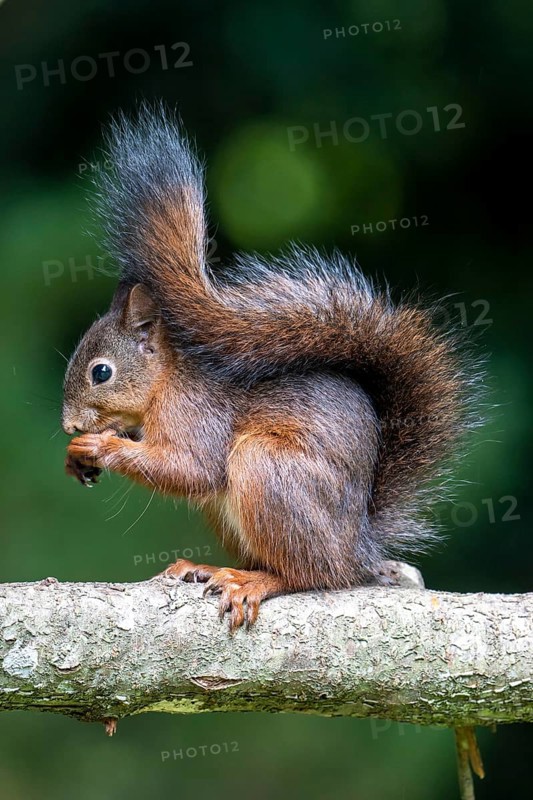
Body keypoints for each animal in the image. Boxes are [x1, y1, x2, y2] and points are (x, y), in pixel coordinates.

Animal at [62, 104, 482, 631]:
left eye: (101, 372)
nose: (68, 425)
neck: (166, 381)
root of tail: (358, 549)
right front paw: (77, 456)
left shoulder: (197, 412)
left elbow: (190, 468)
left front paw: (99, 445)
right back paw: (210, 567)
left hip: (267, 470)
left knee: (310, 574)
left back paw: (255, 581)